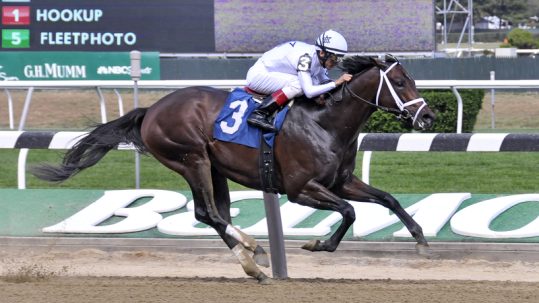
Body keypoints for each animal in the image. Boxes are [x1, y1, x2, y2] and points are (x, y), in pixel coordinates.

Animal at [33, 55, 436, 284]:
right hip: (190, 158)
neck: (326, 121)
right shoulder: (300, 189)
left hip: (214, 167)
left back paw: (252, 259)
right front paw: (318, 243)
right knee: (206, 212)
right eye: (399, 82)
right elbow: (349, 212)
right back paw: (252, 254)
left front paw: (420, 240)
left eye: (413, 80)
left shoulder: (341, 181)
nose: (428, 117)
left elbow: (387, 199)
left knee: (217, 213)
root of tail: (151, 110)